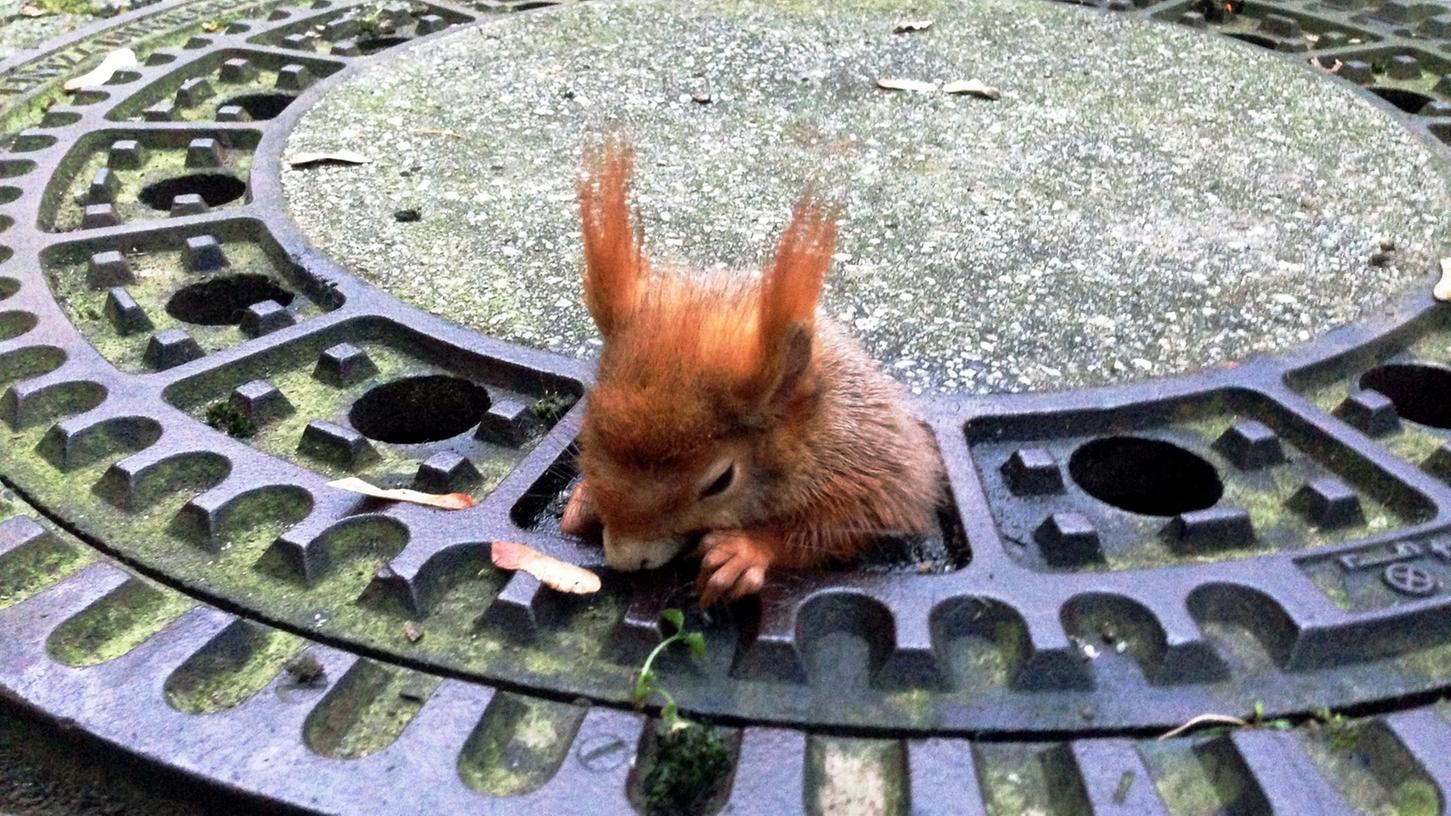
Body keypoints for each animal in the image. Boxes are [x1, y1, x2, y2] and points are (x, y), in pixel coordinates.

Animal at [554, 137, 940, 604]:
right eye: (586, 431)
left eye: (721, 481)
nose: (626, 558)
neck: (805, 430)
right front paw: (582, 501)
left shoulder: (863, 461)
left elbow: (849, 522)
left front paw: (744, 552)